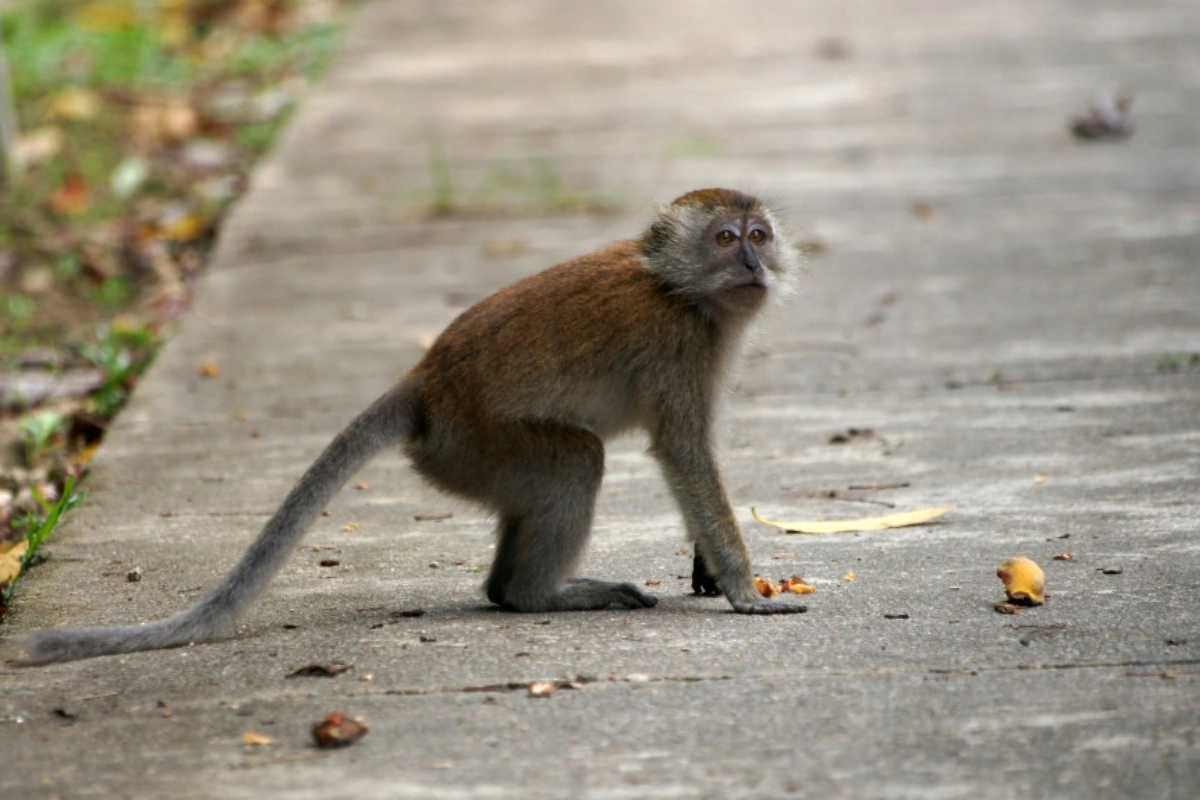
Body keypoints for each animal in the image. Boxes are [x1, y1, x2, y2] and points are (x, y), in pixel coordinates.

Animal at [7, 185, 806, 662]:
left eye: (760, 234)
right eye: (725, 237)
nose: (755, 263)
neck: (679, 290)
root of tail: (425, 380)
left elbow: (688, 458)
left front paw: (708, 568)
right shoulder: (680, 346)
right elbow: (682, 451)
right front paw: (742, 588)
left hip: (471, 458)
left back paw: (507, 590)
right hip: (477, 444)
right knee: (577, 459)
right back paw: (538, 596)